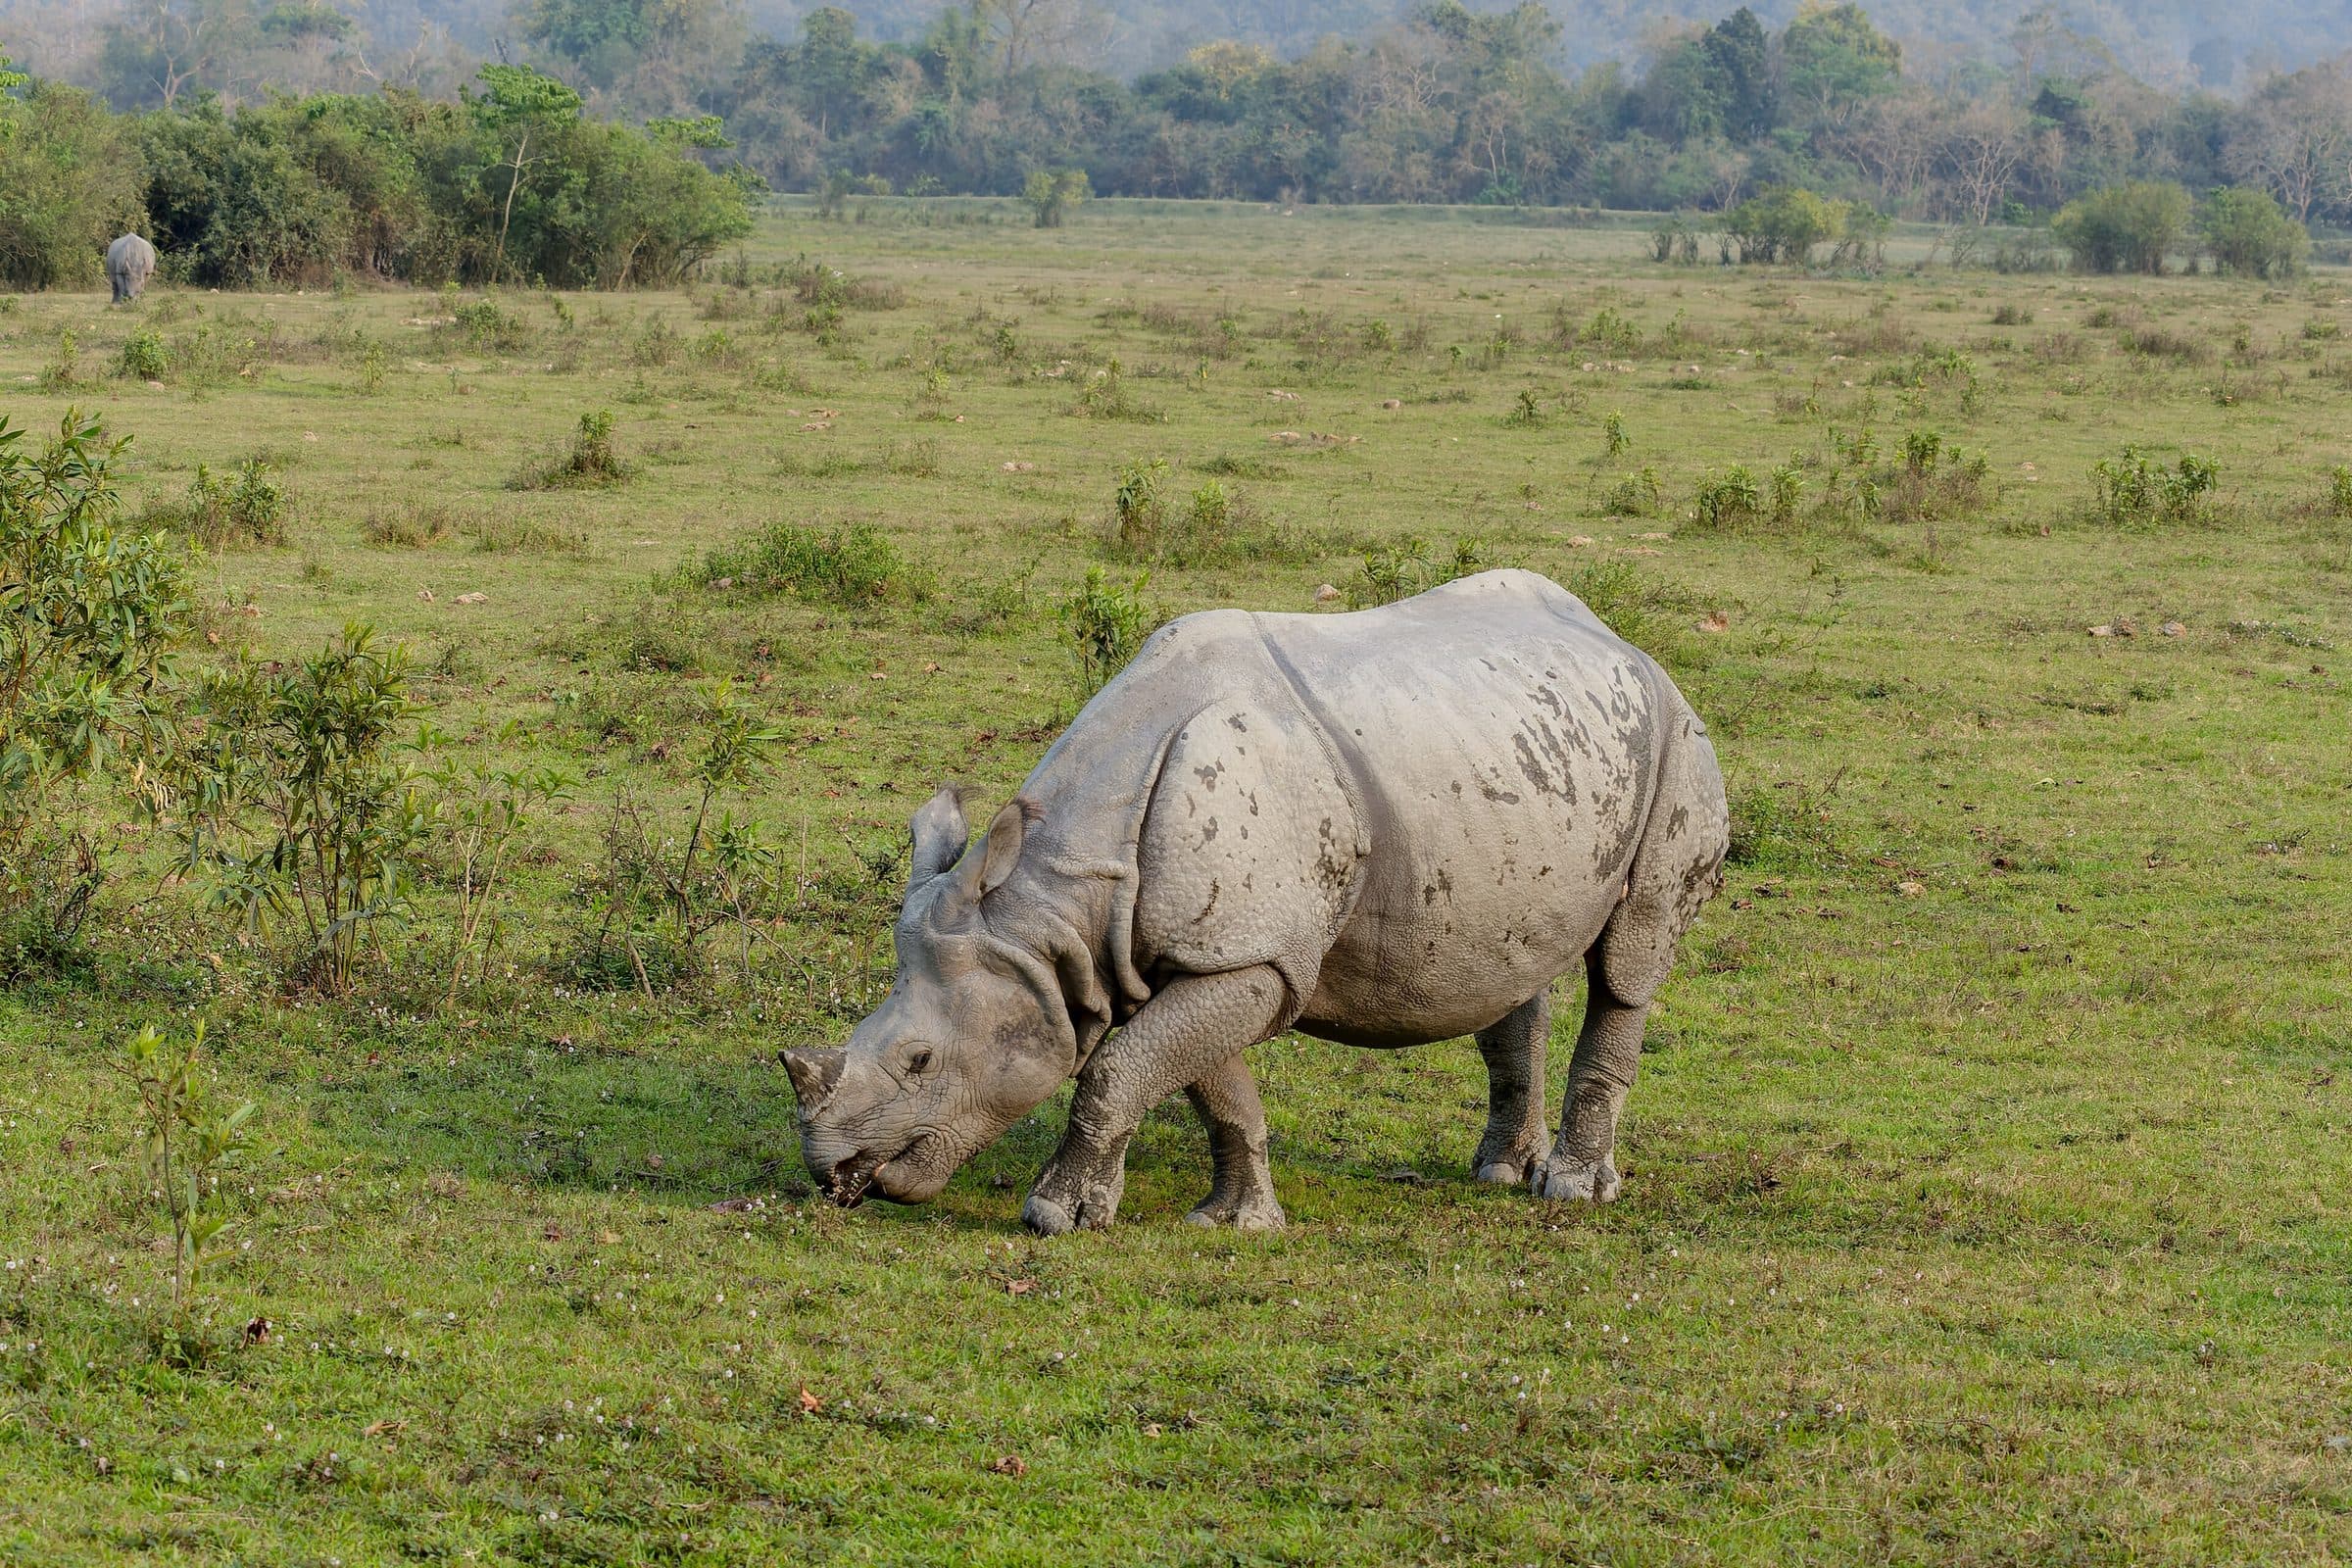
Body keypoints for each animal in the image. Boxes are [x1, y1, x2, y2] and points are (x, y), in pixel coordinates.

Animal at [784, 568, 1728, 1234]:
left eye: (920, 1063)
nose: (831, 1171)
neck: (1052, 910)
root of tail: (1620, 640)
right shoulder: (1199, 952)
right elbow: (1204, 1082)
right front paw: (1236, 1221)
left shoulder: (1248, 955)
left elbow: (1118, 1071)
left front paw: (1056, 1217)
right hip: (1515, 760)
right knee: (1506, 967)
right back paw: (1497, 1173)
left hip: (1678, 735)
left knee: (1629, 961)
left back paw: (1571, 1192)